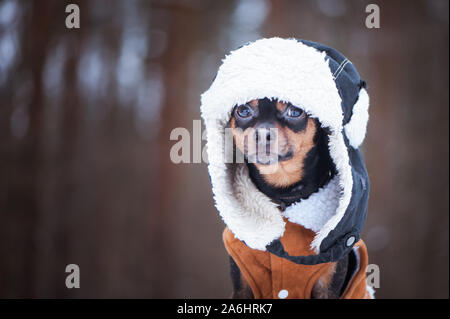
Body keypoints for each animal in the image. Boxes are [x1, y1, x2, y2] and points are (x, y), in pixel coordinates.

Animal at [230, 97, 350, 300]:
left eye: (295, 111)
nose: (263, 133)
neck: (284, 193)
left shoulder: (328, 282)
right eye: (243, 111)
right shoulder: (242, 284)